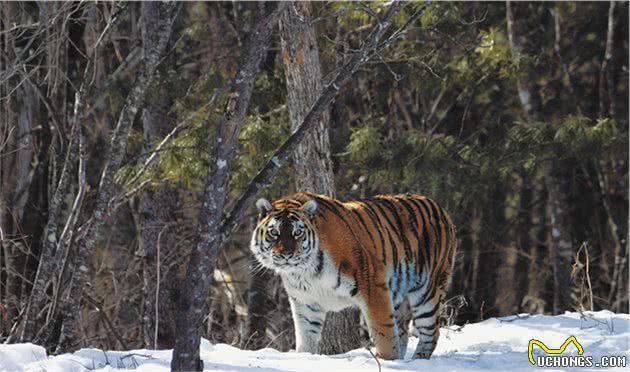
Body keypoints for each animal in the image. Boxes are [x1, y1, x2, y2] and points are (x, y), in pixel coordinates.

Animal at [252, 192, 460, 360]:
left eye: (297, 233)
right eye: (274, 233)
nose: (286, 254)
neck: (304, 272)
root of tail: (439, 207)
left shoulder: (373, 287)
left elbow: (383, 333)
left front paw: (387, 361)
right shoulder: (306, 302)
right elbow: (306, 338)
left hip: (427, 292)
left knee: (431, 333)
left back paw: (417, 361)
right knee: (402, 332)